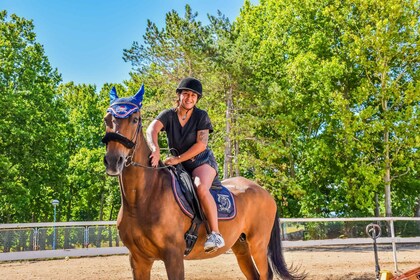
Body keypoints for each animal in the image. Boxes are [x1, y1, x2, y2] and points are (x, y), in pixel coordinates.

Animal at [103, 85, 304, 280]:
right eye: (107, 119)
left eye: (135, 119)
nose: (113, 161)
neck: (142, 198)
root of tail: (264, 192)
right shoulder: (138, 259)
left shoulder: (173, 256)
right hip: (241, 246)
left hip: (258, 244)